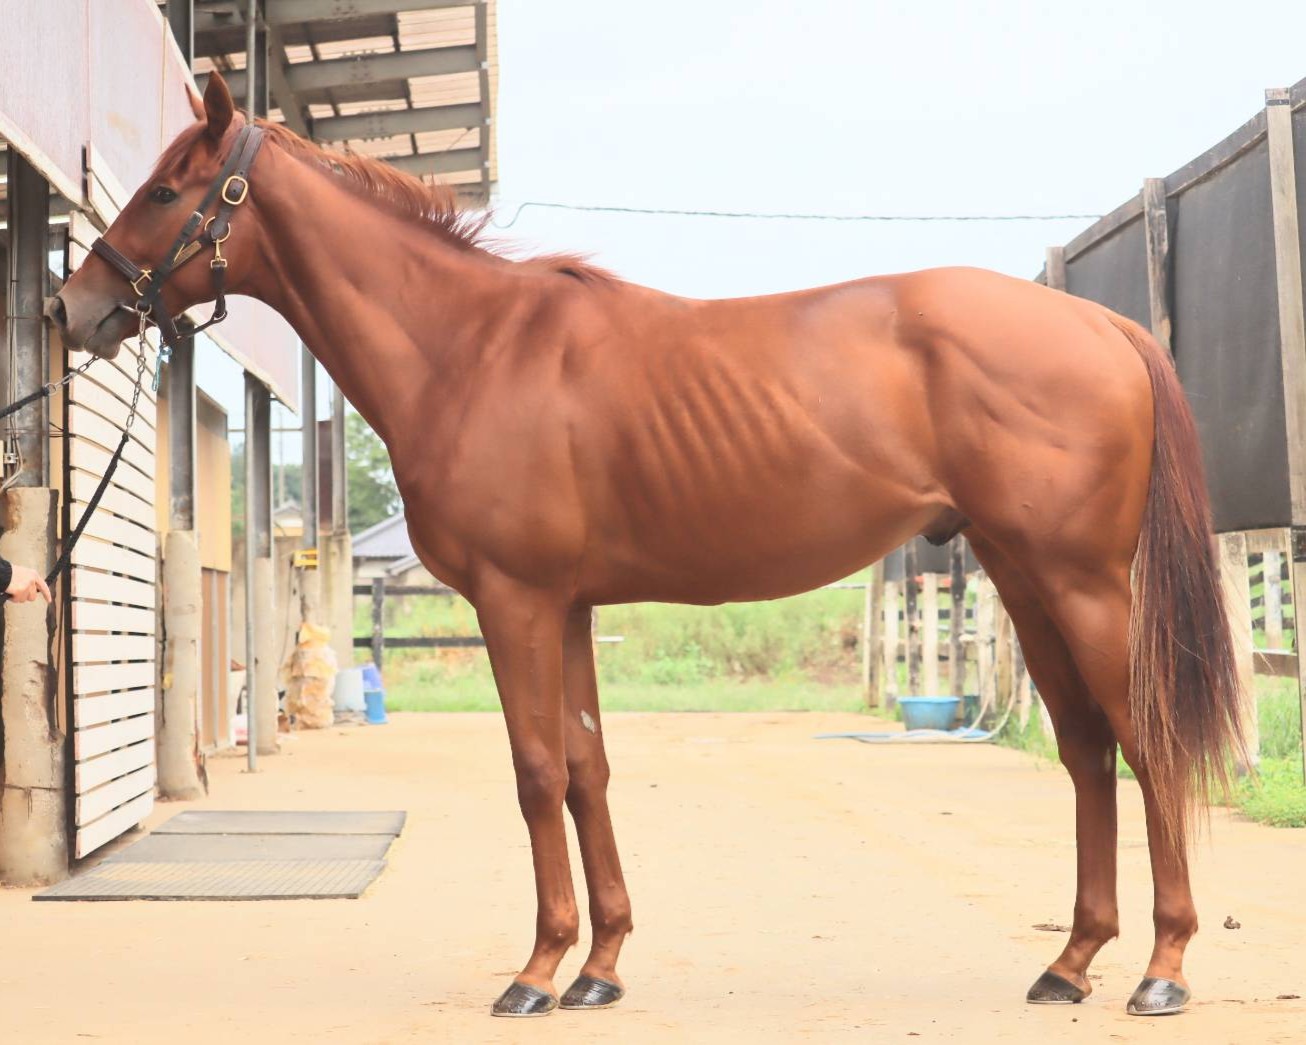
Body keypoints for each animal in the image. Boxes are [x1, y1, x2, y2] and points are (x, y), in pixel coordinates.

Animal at [50, 72, 1243, 1019]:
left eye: (164, 190)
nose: (73, 308)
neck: (471, 348)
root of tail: (1099, 324)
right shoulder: (568, 605)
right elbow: (587, 768)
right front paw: (600, 965)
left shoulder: (515, 601)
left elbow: (536, 771)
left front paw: (536, 971)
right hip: (1023, 578)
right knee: (1086, 749)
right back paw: (1071, 961)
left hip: (1081, 583)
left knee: (1144, 740)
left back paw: (1161, 968)